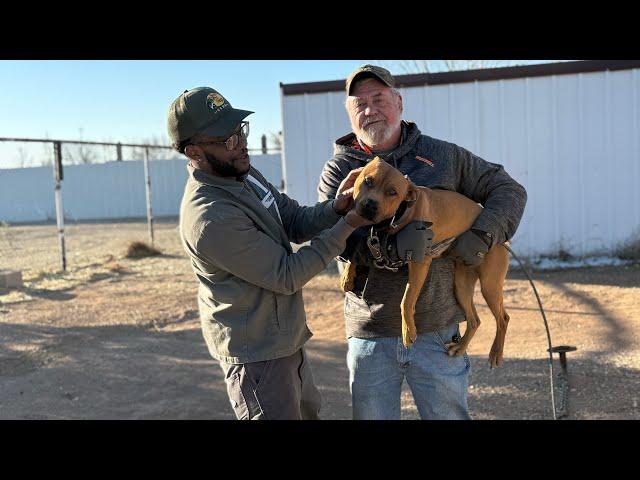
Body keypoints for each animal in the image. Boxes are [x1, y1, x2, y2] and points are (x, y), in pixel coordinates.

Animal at [340, 158, 510, 368]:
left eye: (392, 192)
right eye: (368, 181)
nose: (370, 205)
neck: (401, 214)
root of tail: (501, 240)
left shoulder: (419, 264)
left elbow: (406, 301)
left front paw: (408, 331)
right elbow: (356, 246)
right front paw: (347, 275)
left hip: (489, 286)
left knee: (503, 318)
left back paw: (496, 353)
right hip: (461, 285)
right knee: (474, 320)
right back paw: (460, 347)